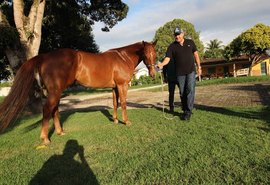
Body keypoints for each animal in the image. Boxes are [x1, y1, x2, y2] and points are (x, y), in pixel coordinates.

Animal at [0, 40, 157, 145]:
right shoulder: (122, 85)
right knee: (47, 110)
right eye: (145, 54)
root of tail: (45, 56)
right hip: (55, 91)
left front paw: (116, 120)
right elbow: (123, 103)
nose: (153, 74)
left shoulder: (114, 87)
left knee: (55, 110)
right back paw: (45, 139)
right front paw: (127, 122)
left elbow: (115, 103)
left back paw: (60, 132)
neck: (122, 57)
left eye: (154, 54)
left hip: (56, 91)